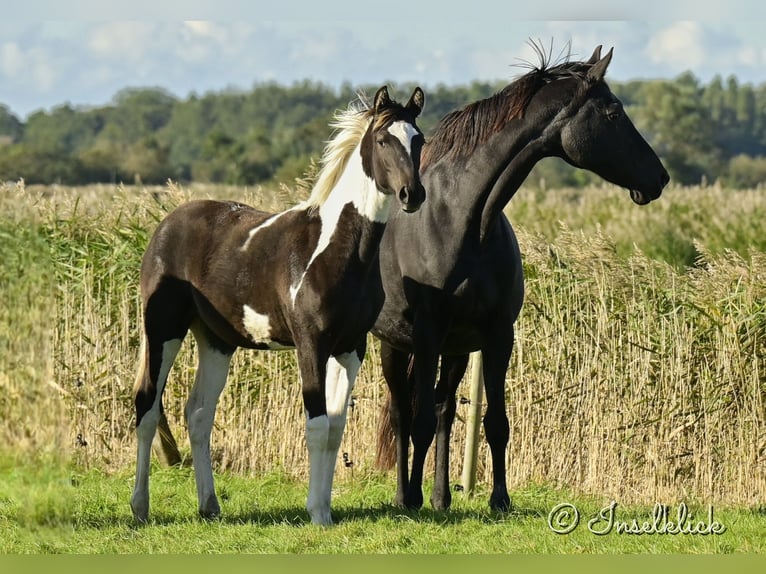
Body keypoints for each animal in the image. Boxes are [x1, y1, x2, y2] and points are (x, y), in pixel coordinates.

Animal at [130, 84, 426, 528]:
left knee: (198, 414)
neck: (335, 249)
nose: (413, 195)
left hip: (216, 342)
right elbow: (316, 426)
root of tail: (166, 226)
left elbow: (335, 429)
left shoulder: (350, 348)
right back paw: (140, 507)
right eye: (382, 140)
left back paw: (209, 505)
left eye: (418, 139)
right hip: (163, 331)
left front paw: (325, 508)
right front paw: (316, 513)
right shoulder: (310, 345)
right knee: (147, 407)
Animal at [374, 46, 672, 512]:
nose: (659, 177)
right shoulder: (426, 333)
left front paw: (500, 499)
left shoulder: (498, 334)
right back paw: (408, 494)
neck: (463, 221)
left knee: (443, 408)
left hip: (456, 351)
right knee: (405, 412)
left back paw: (441, 496)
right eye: (613, 113)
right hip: (396, 346)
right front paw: (413, 500)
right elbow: (417, 422)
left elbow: (495, 422)